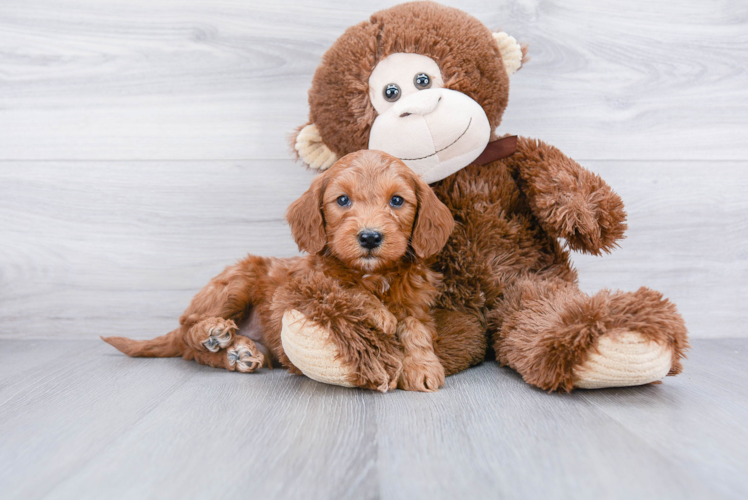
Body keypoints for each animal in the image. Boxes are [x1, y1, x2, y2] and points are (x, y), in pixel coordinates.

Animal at [103, 150, 456, 392]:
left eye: (397, 201)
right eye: (342, 200)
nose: (370, 237)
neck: (375, 274)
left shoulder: (419, 306)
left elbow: (415, 329)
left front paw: (422, 366)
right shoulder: (305, 283)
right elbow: (344, 289)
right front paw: (379, 314)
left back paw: (238, 352)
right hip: (236, 282)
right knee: (187, 331)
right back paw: (213, 334)